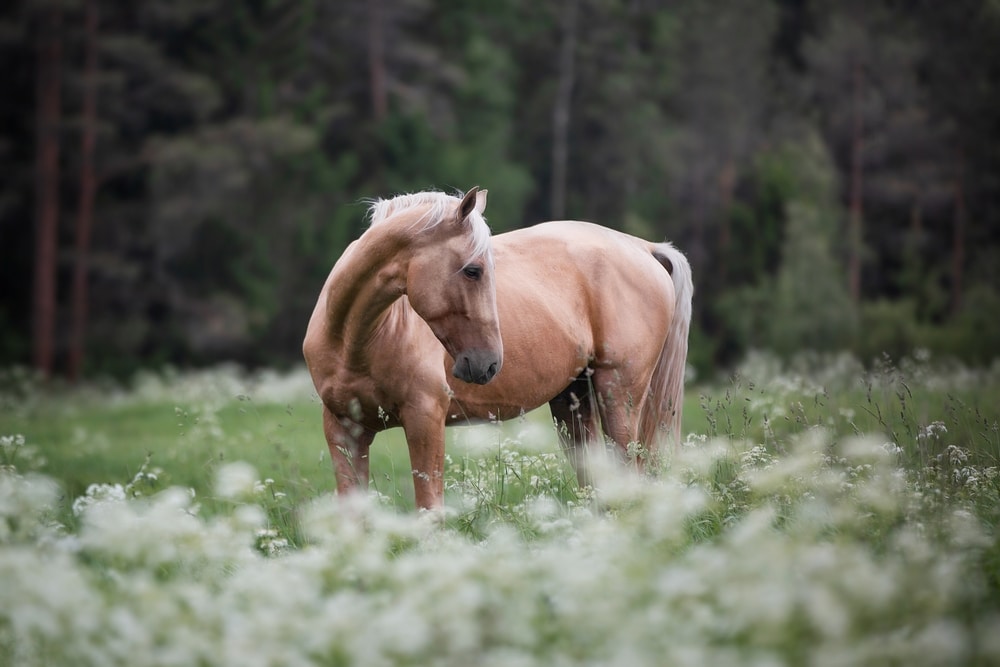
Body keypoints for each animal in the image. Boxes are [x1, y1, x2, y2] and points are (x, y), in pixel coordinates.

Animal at [304, 188, 692, 512]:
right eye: (473, 270)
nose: (489, 364)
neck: (356, 340)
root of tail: (642, 247)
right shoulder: (343, 430)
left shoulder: (424, 420)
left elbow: (430, 512)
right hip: (572, 399)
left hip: (618, 395)